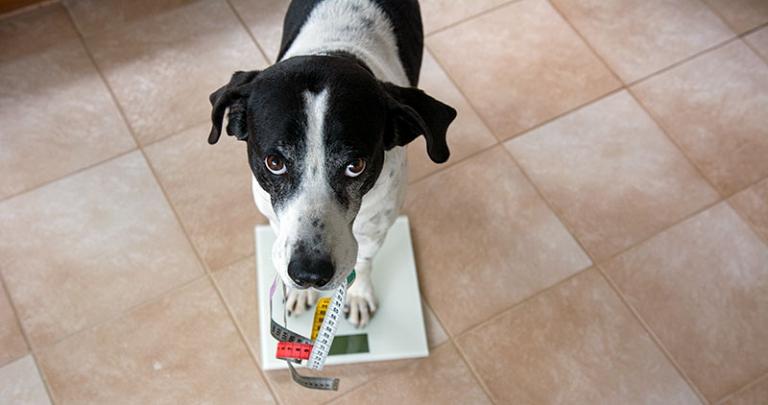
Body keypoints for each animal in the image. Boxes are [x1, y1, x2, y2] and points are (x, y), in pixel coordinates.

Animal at [207, 0, 456, 326]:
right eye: (274, 162)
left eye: (355, 165)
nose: (309, 275)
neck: (336, 48)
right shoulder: (273, 216)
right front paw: (297, 292)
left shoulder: (376, 226)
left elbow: (363, 261)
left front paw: (358, 294)